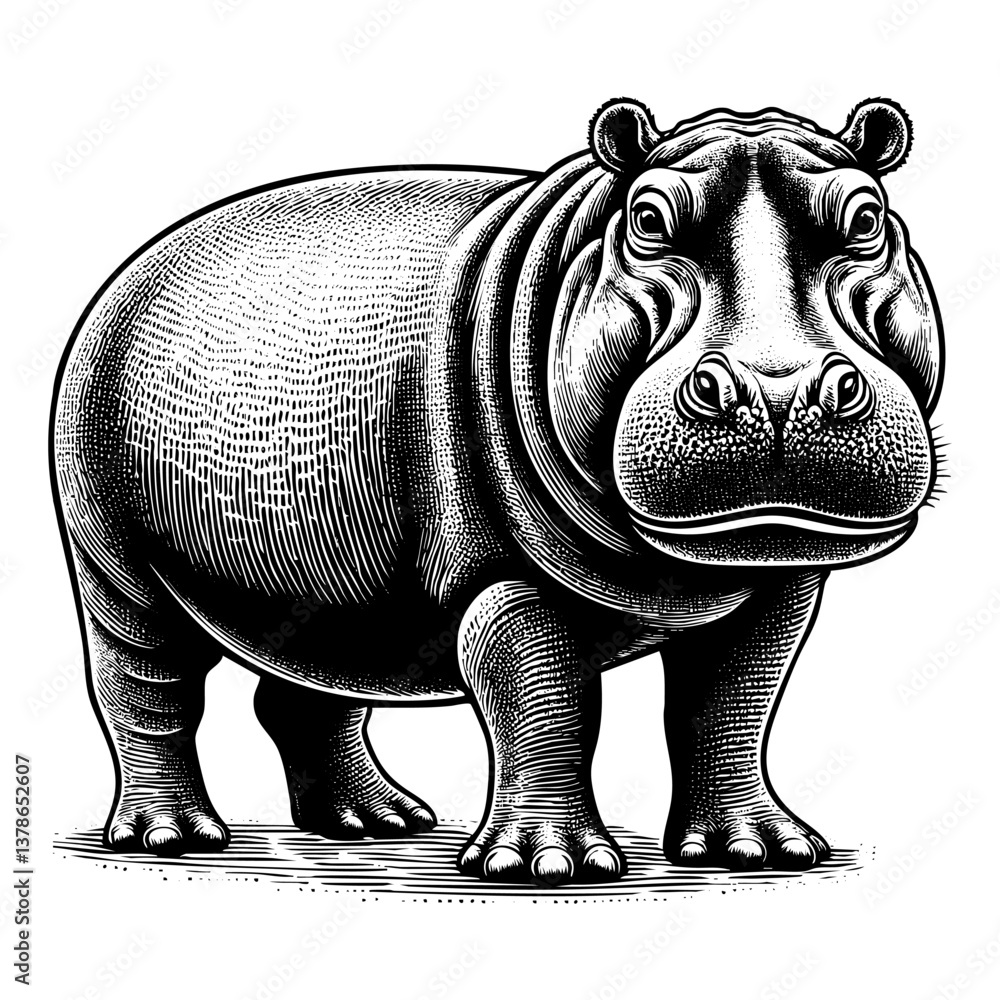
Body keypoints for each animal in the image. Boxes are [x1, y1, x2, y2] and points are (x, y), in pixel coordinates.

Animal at [51, 97, 943, 885]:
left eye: (868, 219)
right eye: (648, 220)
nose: (779, 389)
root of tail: (124, 275)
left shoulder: (775, 587)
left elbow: (730, 705)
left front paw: (762, 851)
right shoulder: (502, 577)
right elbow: (542, 696)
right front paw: (551, 867)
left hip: (325, 584)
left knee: (311, 686)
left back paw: (378, 822)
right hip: (111, 556)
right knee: (144, 681)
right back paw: (171, 837)